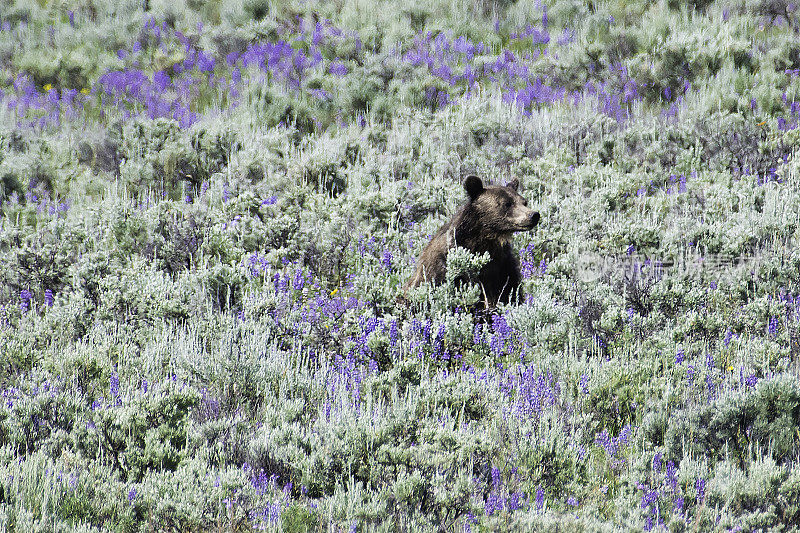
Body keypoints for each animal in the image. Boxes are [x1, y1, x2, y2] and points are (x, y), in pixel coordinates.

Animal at [406, 175, 536, 308]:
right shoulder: (444, 267)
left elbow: (510, 290)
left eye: (524, 202)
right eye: (507, 203)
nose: (534, 215)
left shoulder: (503, 265)